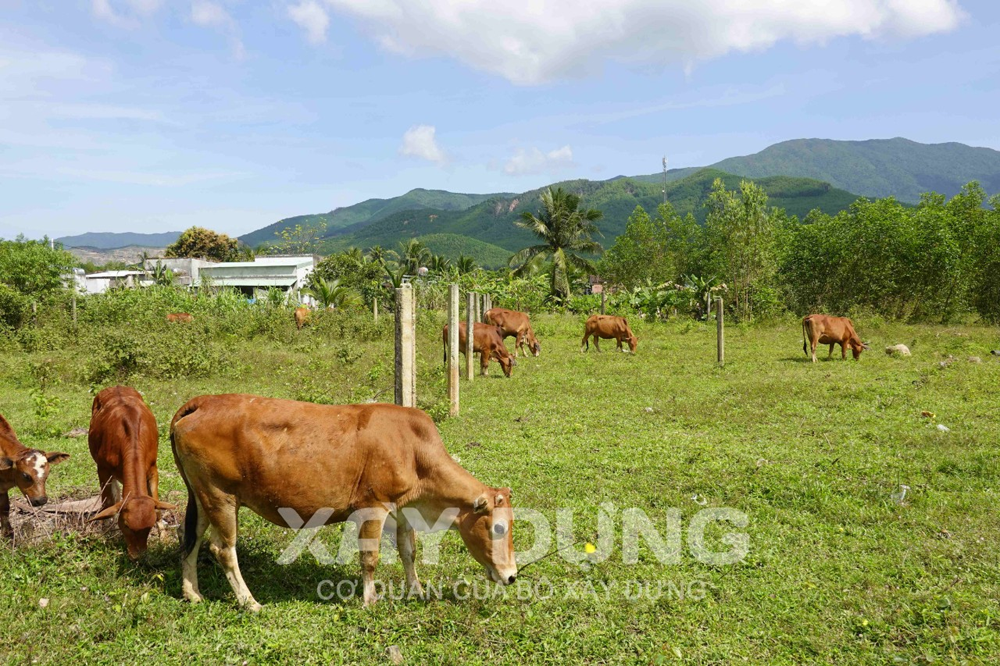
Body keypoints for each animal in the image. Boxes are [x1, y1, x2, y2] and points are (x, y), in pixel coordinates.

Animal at [89, 384, 175, 556]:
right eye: (126, 525)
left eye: (149, 527)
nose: (138, 555)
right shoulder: (103, 469)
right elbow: (108, 503)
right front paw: (108, 535)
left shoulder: (153, 468)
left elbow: (157, 505)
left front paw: (164, 537)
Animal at [171, 394, 516, 608]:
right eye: (498, 529)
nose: (512, 575)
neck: (414, 450)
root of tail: (202, 402)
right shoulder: (373, 505)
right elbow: (370, 557)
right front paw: (369, 599)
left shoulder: (402, 509)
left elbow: (409, 552)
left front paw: (416, 591)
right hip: (220, 496)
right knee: (222, 549)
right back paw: (249, 602)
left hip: (201, 496)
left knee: (190, 541)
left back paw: (192, 594)